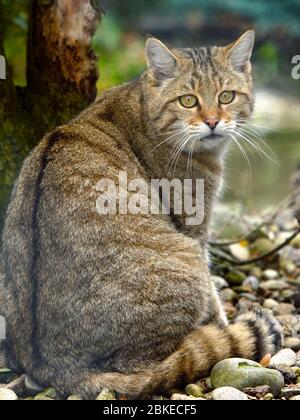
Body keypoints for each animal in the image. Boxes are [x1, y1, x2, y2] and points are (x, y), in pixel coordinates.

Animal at [0, 31, 282, 398]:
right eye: (188, 101)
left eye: (226, 96)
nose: (212, 122)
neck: (143, 106)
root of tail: (55, 368)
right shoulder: (195, 229)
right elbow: (214, 299)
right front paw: (224, 325)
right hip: (185, 260)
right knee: (154, 364)